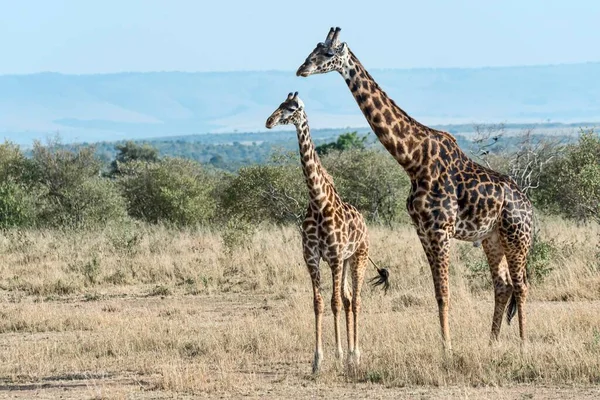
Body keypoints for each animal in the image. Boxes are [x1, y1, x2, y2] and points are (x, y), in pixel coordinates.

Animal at [266, 92, 390, 374]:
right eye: (279, 104)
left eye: (293, 108)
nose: (269, 121)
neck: (318, 200)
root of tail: (364, 222)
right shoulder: (312, 258)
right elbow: (319, 303)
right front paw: (318, 360)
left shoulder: (333, 257)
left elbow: (333, 302)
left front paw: (340, 354)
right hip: (345, 261)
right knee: (347, 298)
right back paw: (350, 353)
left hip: (357, 257)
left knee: (355, 300)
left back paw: (355, 354)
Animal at [296, 26, 536, 350]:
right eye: (313, 49)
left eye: (328, 53)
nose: (302, 69)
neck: (413, 160)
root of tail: (529, 208)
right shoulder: (422, 231)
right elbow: (437, 293)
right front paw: (445, 344)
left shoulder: (440, 230)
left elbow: (444, 293)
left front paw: (448, 348)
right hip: (491, 238)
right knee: (503, 285)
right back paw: (492, 342)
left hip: (516, 236)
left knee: (521, 286)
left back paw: (522, 344)